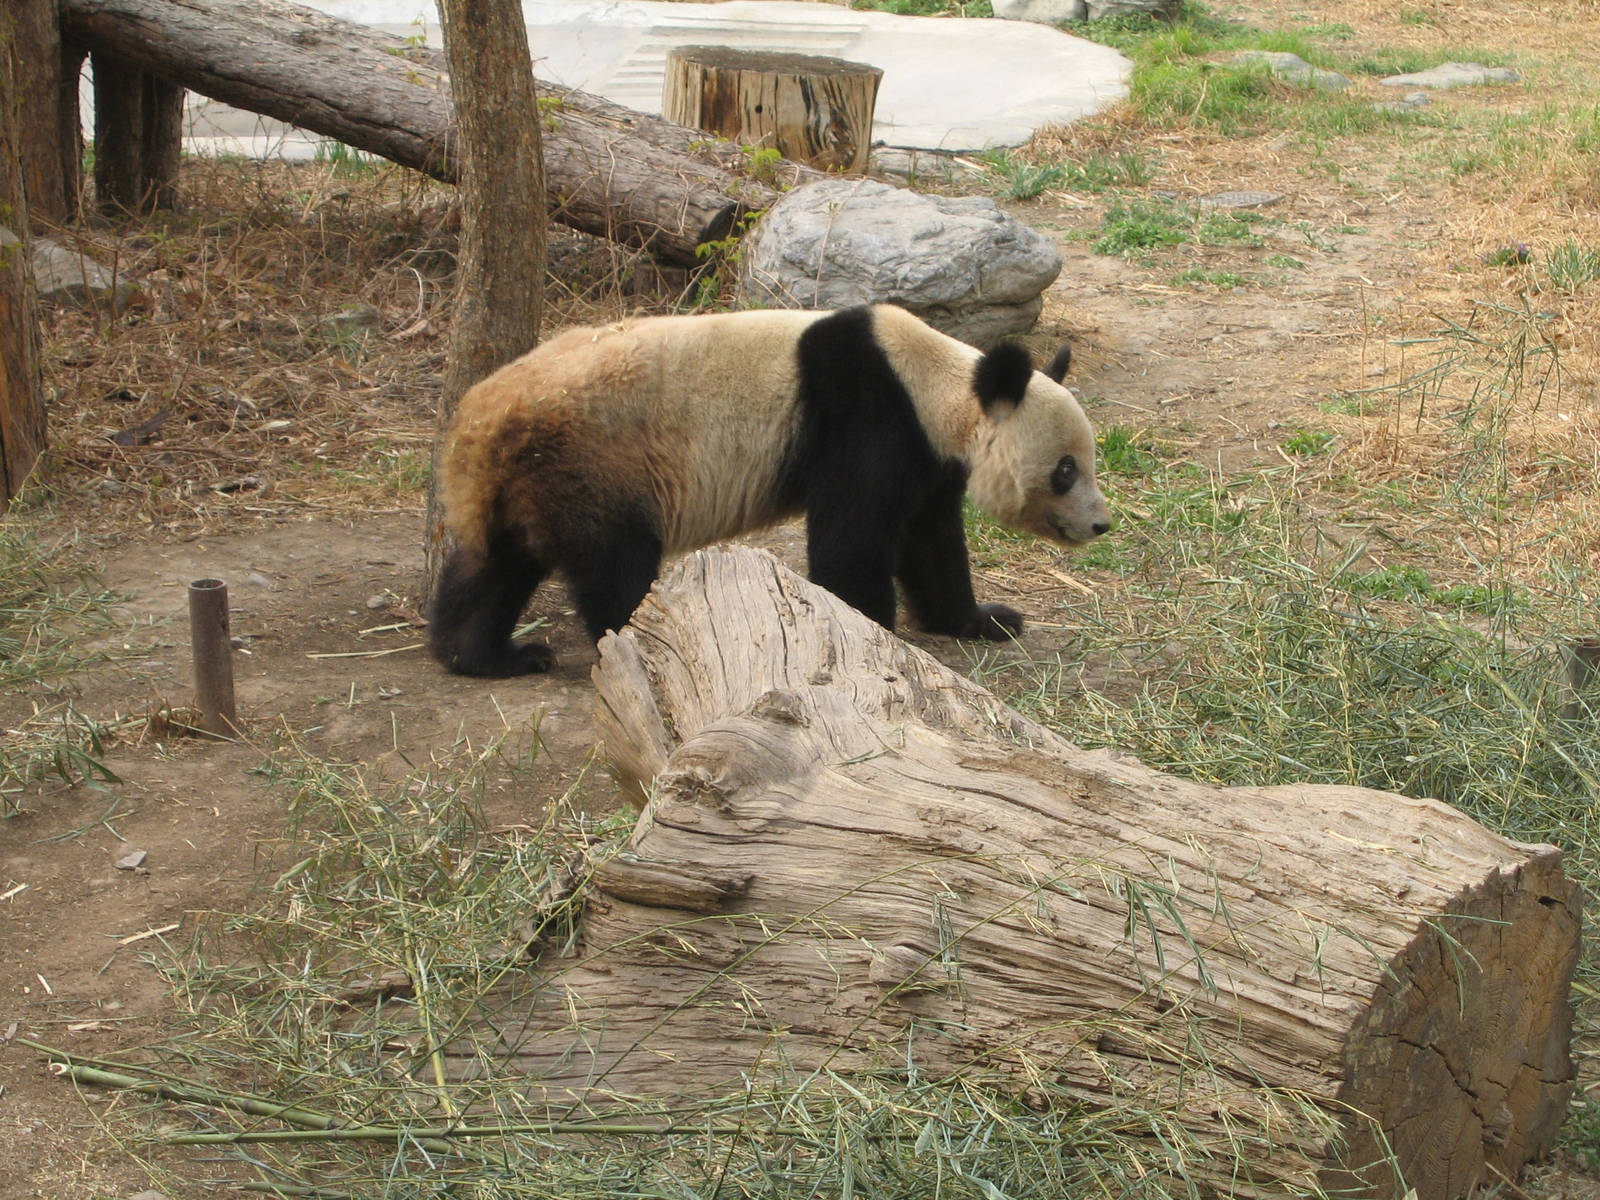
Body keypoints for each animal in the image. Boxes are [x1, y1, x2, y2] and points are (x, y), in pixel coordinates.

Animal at [428, 303, 1112, 677]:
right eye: (1066, 469)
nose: (1100, 524)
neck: (938, 384)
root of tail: (477, 426)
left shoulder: (929, 457)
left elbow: (932, 545)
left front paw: (985, 620)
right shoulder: (868, 419)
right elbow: (853, 541)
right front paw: (868, 634)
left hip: (526, 482)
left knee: (493, 565)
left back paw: (486, 656)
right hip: (594, 462)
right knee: (615, 566)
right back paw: (646, 644)